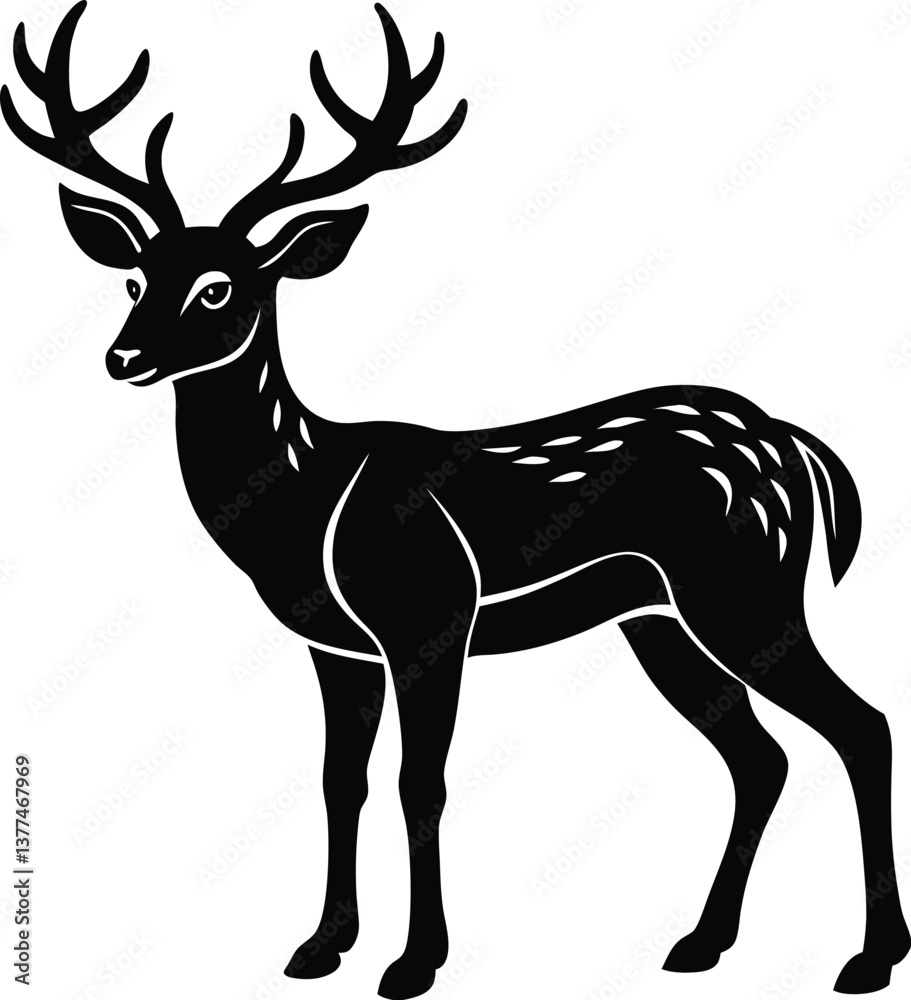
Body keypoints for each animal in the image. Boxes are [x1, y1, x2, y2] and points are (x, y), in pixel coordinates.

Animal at [3, 3, 909, 997]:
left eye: (218, 286)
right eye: (134, 278)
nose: (122, 356)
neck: (309, 502)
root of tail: (796, 446)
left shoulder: (430, 612)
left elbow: (420, 782)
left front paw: (414, 962)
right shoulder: (337, 646)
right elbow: (341, 781)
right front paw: (319, 947)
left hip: (745, 589)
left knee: (860, 725)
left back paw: (868, 956)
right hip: (659, 619)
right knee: (760, 756)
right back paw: (701, 942)